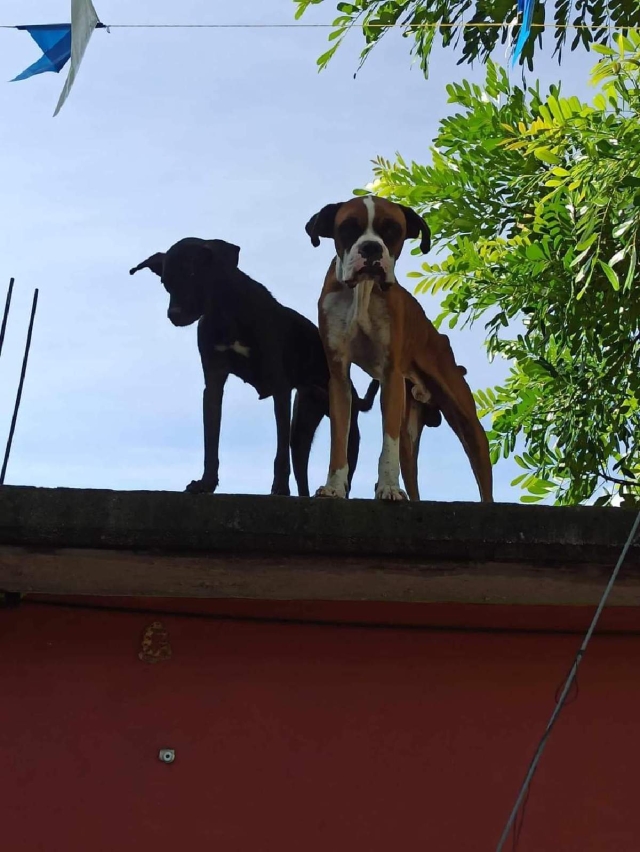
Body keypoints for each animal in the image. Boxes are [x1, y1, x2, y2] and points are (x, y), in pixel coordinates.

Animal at [131, 236, 380, 496]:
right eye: (165, 282)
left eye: (191, 272)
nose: (174, 314)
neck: (227, 313)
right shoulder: (214, 382)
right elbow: (211, 442)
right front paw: (206, 483)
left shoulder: (280, 386)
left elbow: (279, 453)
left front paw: (279, 488)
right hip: (303, 424)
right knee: (300, 464)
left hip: (346, 429)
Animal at [304, 196, 496, 502]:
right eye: (348, 227)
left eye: (392, 229)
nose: (371, 247)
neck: (363, 292)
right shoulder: (340, 378)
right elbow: (339, 441)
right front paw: (333, 487)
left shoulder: (391, 376)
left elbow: (387, 445)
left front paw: (389, 488)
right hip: (409, 436)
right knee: (412, 478)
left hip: (468, 424)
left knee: (483, 481)